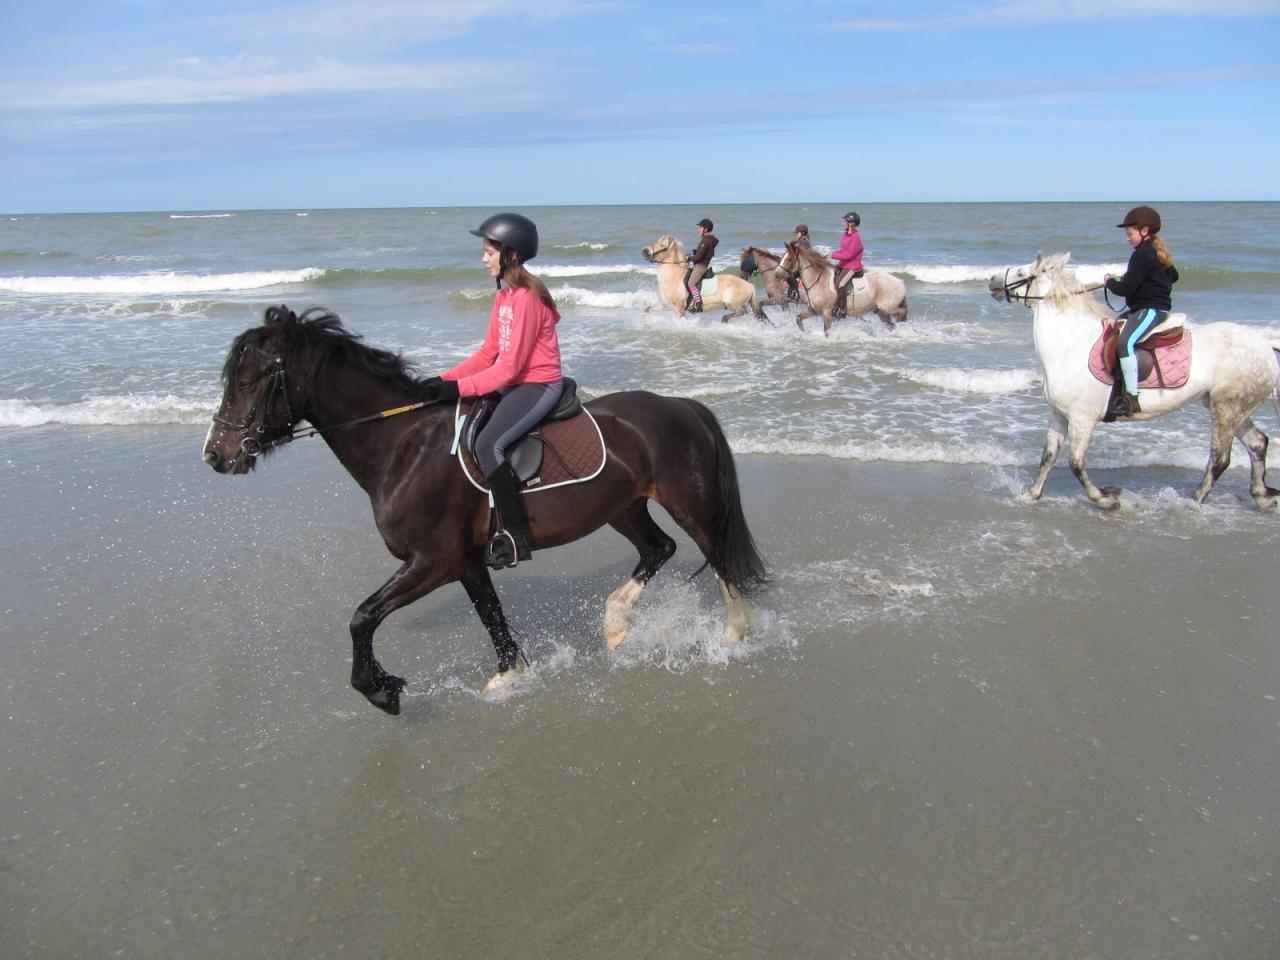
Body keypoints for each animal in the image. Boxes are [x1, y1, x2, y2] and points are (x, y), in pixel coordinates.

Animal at [206, 308, 768, 716]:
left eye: (248, 380)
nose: (216, 454)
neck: (403, 446)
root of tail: (682, 405)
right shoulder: (465, 561)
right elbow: (490, 614)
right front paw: (508, 675)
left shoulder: (431, 561)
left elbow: (362, 617)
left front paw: (381, 690)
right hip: (623, 507)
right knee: (660, 548)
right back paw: (616, 623)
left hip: (690, 504)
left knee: (717, 557)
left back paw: (733, 635)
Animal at [773, 241, 906, 335]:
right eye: (782, 257)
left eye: (789, 259)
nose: (776, 275)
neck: (818, 281)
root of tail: (900, 282)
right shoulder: (814, 311)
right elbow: (798, 318)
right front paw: (803, 333)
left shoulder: (827, 314)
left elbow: (826, 331)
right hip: (881, 312)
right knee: (891, 325)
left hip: (886, 308)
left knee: (901, 313)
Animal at [988, 253, 1280, 512]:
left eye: (1021, 273)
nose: (992, 280)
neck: (1070, 346)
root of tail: (1265, 345)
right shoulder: (1059, 415)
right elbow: (1048, 457)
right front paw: (1032, 494)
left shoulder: (1082, 419)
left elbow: (1076, 464)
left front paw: (1106, 499)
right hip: (1229, 406)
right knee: (1257, 443)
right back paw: (1262, 498)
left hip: (1226, 408)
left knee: (1219, 459)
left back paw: (1192, 501)